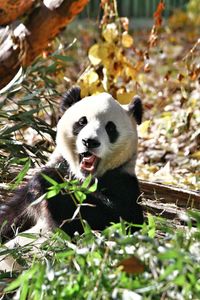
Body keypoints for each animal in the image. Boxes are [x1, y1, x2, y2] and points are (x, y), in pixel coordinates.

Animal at [0, 86, 144, 270]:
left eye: (110, 128)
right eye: (82, 122)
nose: (90, 142)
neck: (83, 177)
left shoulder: (123, 182)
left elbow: (113, 221)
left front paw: (50, 183)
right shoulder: (28, 199)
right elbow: (9, 216)